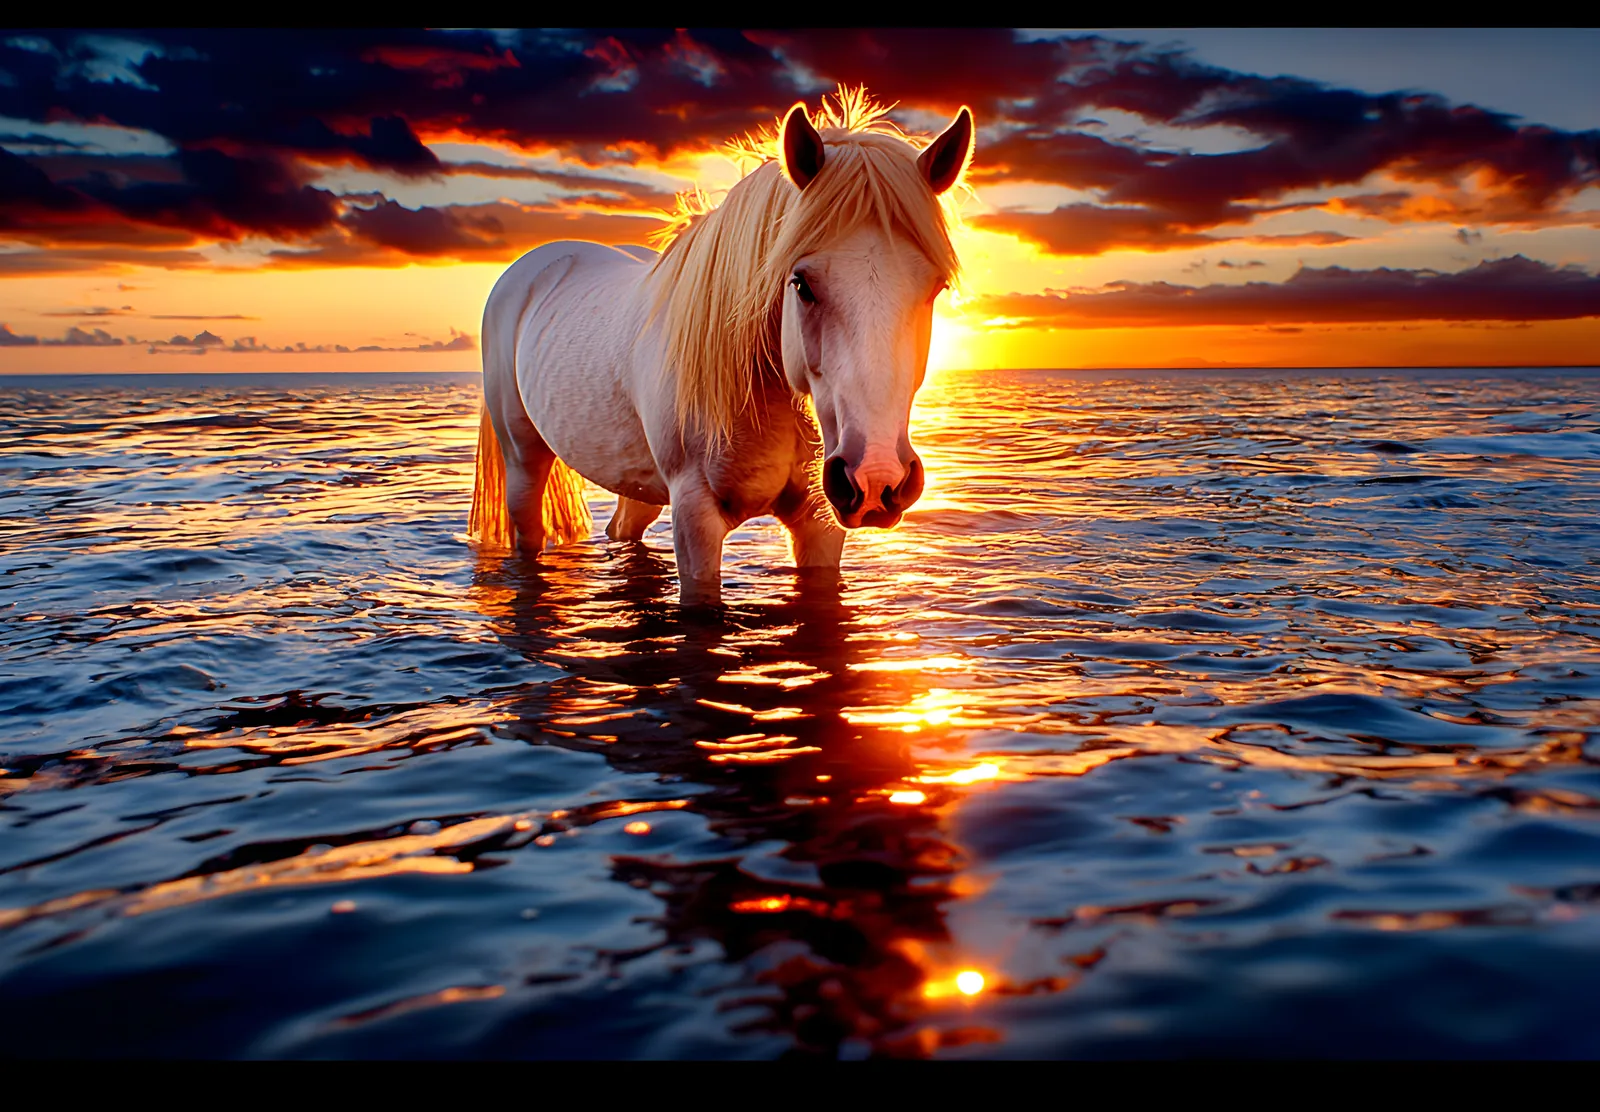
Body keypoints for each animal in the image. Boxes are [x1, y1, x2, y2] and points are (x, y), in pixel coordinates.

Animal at [469, 86, 975, 606]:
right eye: (800, 283)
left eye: (935, 289)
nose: (876, 478)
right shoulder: (696, 517)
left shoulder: (819, 523)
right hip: (523, 458)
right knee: (527, 529)